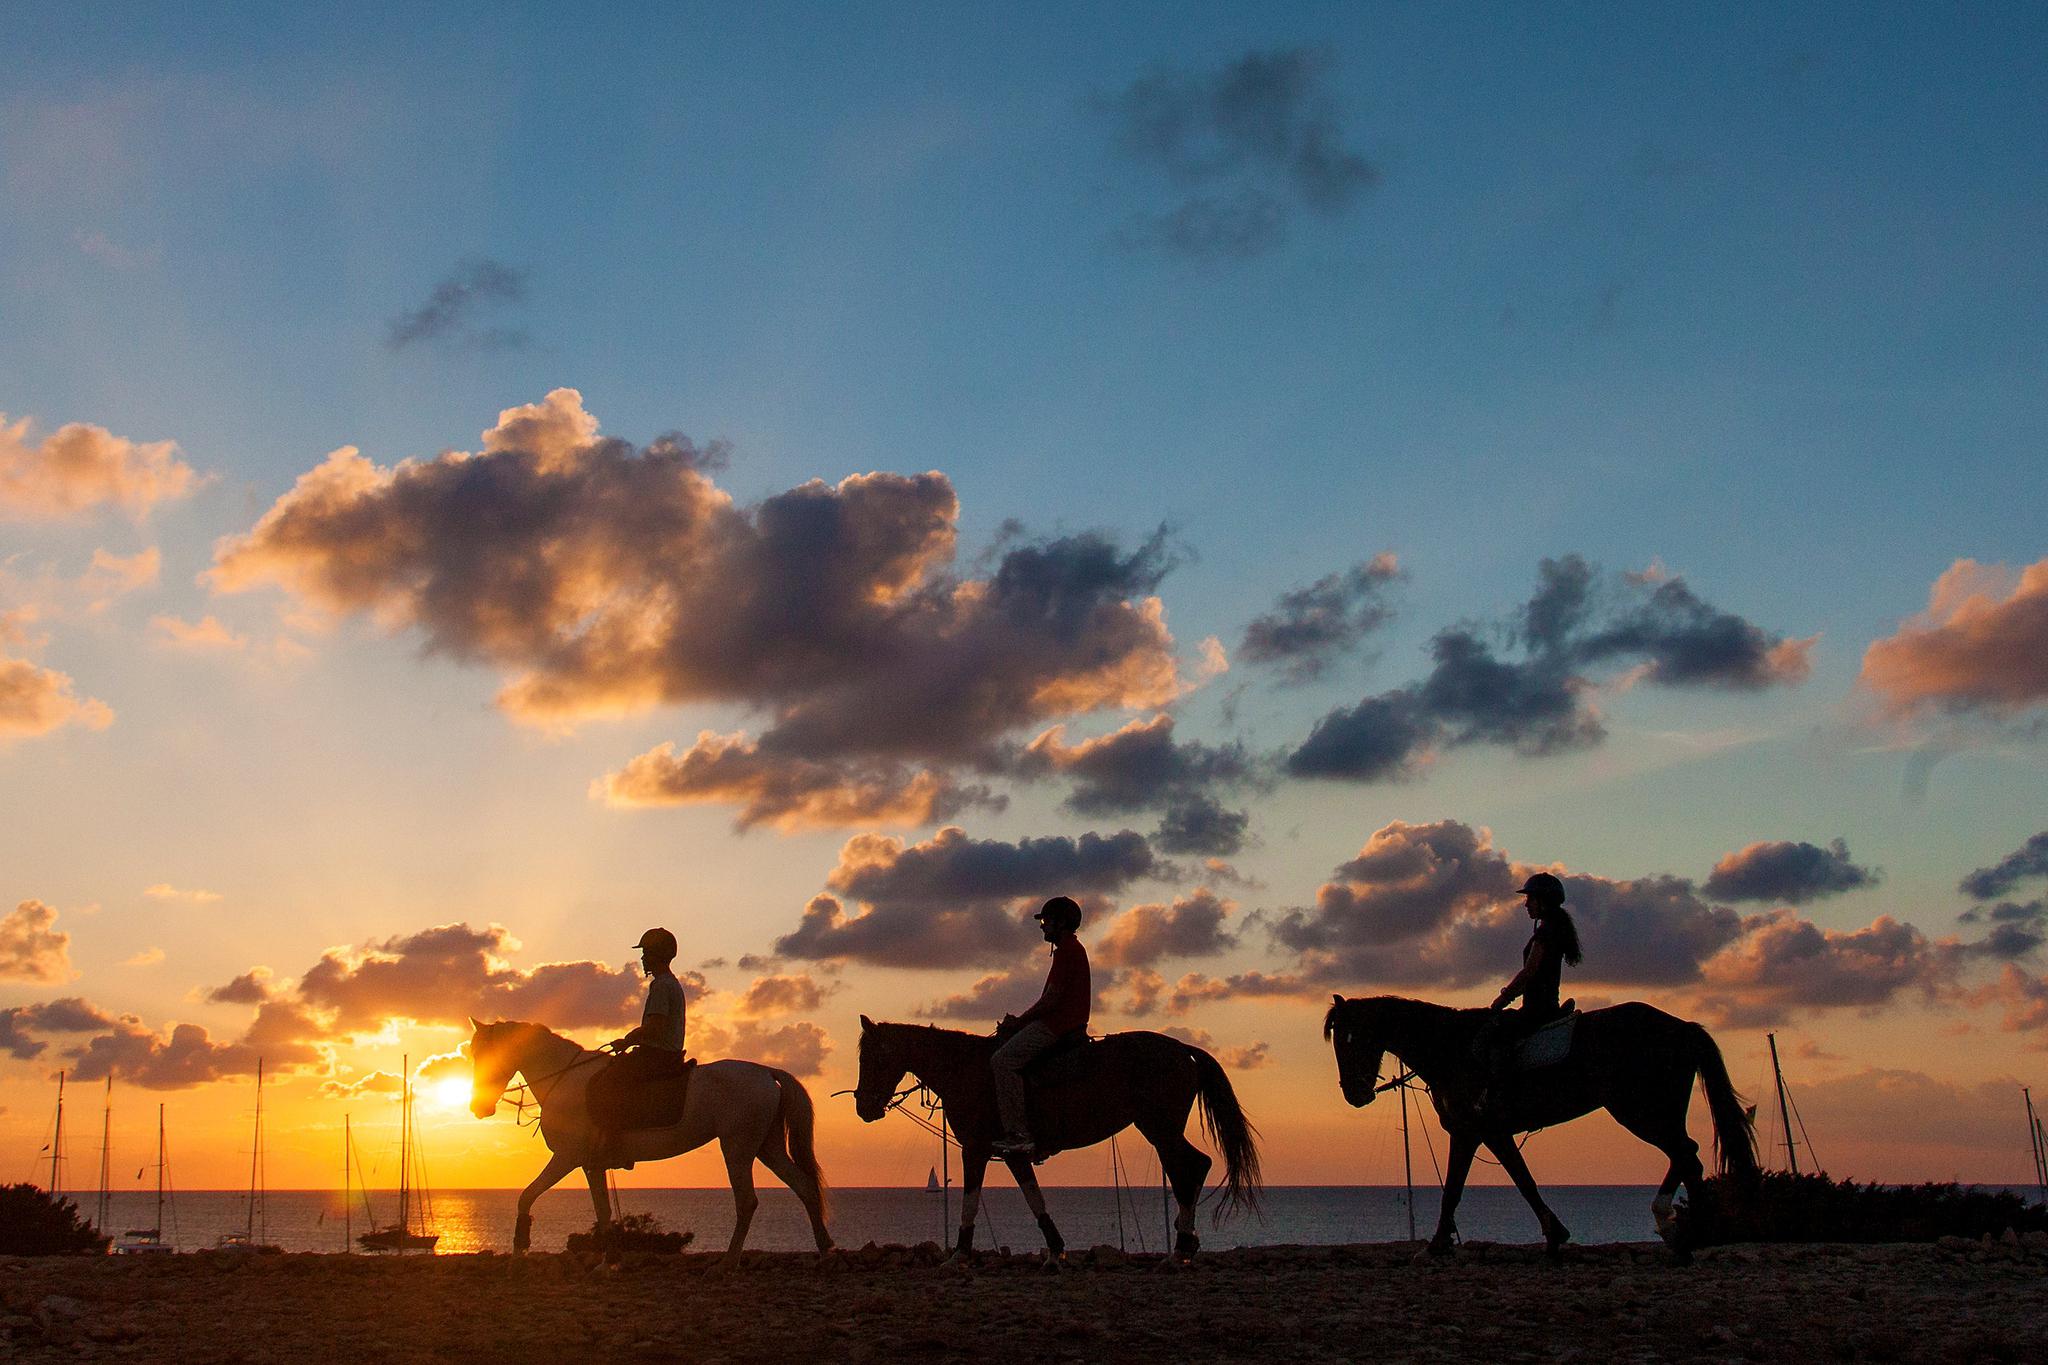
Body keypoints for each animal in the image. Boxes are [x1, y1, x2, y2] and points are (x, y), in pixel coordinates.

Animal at [468, 1019, 831, 1268]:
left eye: (488, 1053)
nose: (478, 1108)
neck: (565, 1079)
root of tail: (766, 1072)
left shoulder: (567, 1157)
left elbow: (527, 1196)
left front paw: (519, 1248)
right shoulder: (590, 1164)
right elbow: (602, 1212)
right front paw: (610, 1261)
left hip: (738, 1148)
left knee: (747, 1201)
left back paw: (728, 1262)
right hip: (767, 1147)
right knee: (803, 1186)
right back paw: (825, 1248)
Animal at [851, 1019, 1261, 1268]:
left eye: (871, 1058)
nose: (862, 1108)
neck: (966, 1070)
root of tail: (1181, 1048)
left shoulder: (975, 1148)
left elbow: (970, 1199)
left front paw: (960, 1255)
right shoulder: (1012, 1153)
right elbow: (1034, 1197)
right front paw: (1055, 1251)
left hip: (1160, 1128)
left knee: (1189, 1168)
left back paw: (1180, 1250)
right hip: (1162, 1129)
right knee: (1193, 1167)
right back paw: (1185, 1244)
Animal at [1327, 998, 1761, 1268]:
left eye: (1350, 1040)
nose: (1354, 1095)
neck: (1452, 1049)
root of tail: (1682, 1027)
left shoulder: (1478, 1131)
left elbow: (1481, 1187)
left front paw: (1433, 1249)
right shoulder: (1481, 1133)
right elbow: (1496, 1184)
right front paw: (1553, 1236)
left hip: (1639, 1111)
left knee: (1685, 1153)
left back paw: (1689, 1234)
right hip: (1656, 1112)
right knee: (1686, 1155)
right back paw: (1684, 1234)